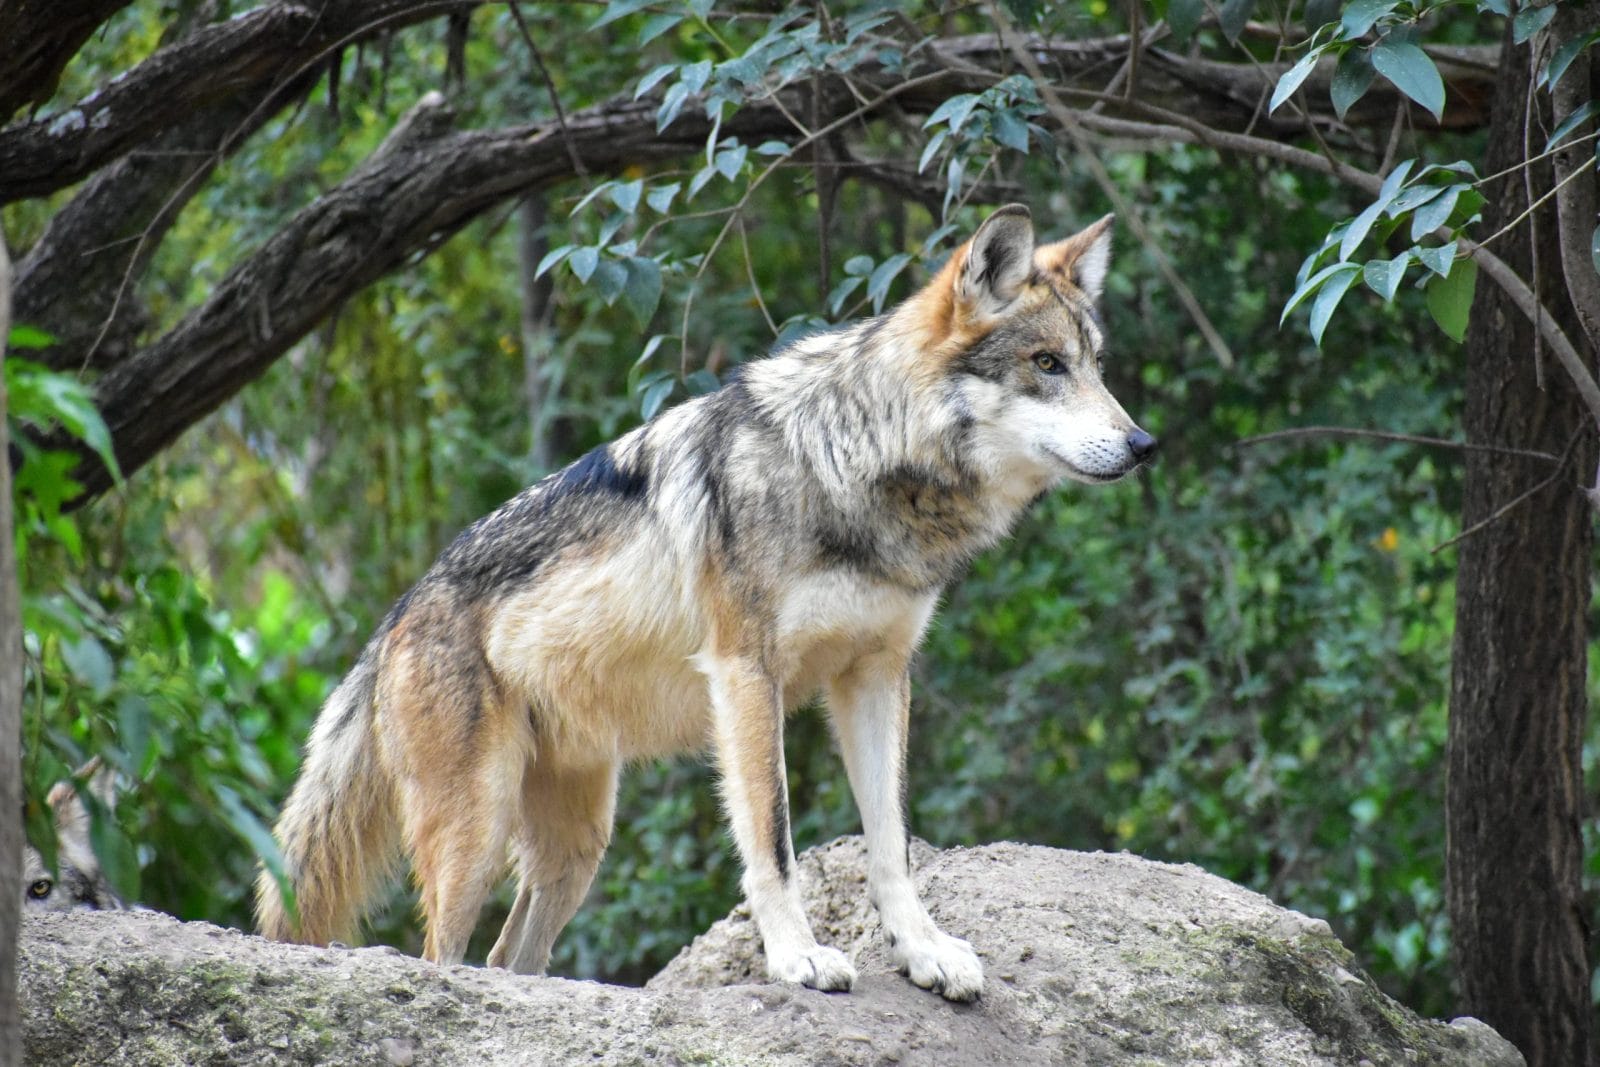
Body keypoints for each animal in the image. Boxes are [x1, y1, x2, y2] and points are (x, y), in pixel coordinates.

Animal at [256, 203, 1156, 1001]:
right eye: (1047, 364)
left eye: (1096, 363)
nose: (1145, 444)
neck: (854, 466)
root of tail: (397, 613)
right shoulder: (745, 673)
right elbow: (774, 837)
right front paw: (798, 958)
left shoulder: (876, 677)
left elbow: (892, 843)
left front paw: (925, 952)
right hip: (476, 831)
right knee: (441, 956)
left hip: (578, 846)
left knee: (510, 958)